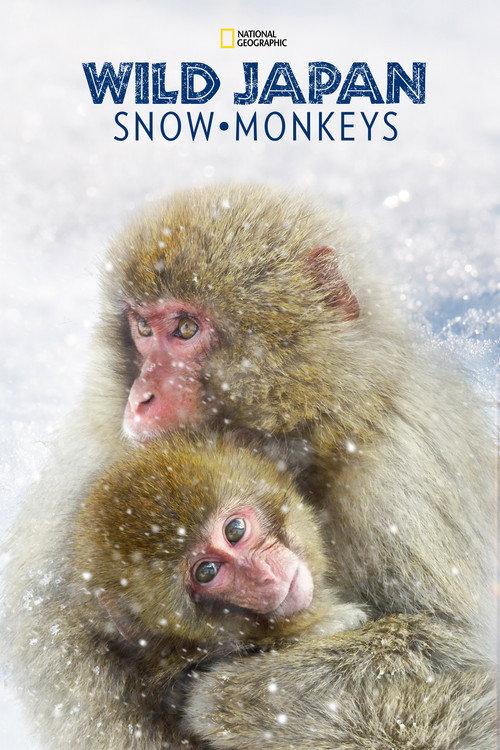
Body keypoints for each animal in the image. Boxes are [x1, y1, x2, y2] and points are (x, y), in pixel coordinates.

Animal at [3, 184, 495, 748]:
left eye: (185, 328)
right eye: (143, 329)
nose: (141, 397)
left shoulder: (405, 472)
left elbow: (458, 648)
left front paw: (219, 697)